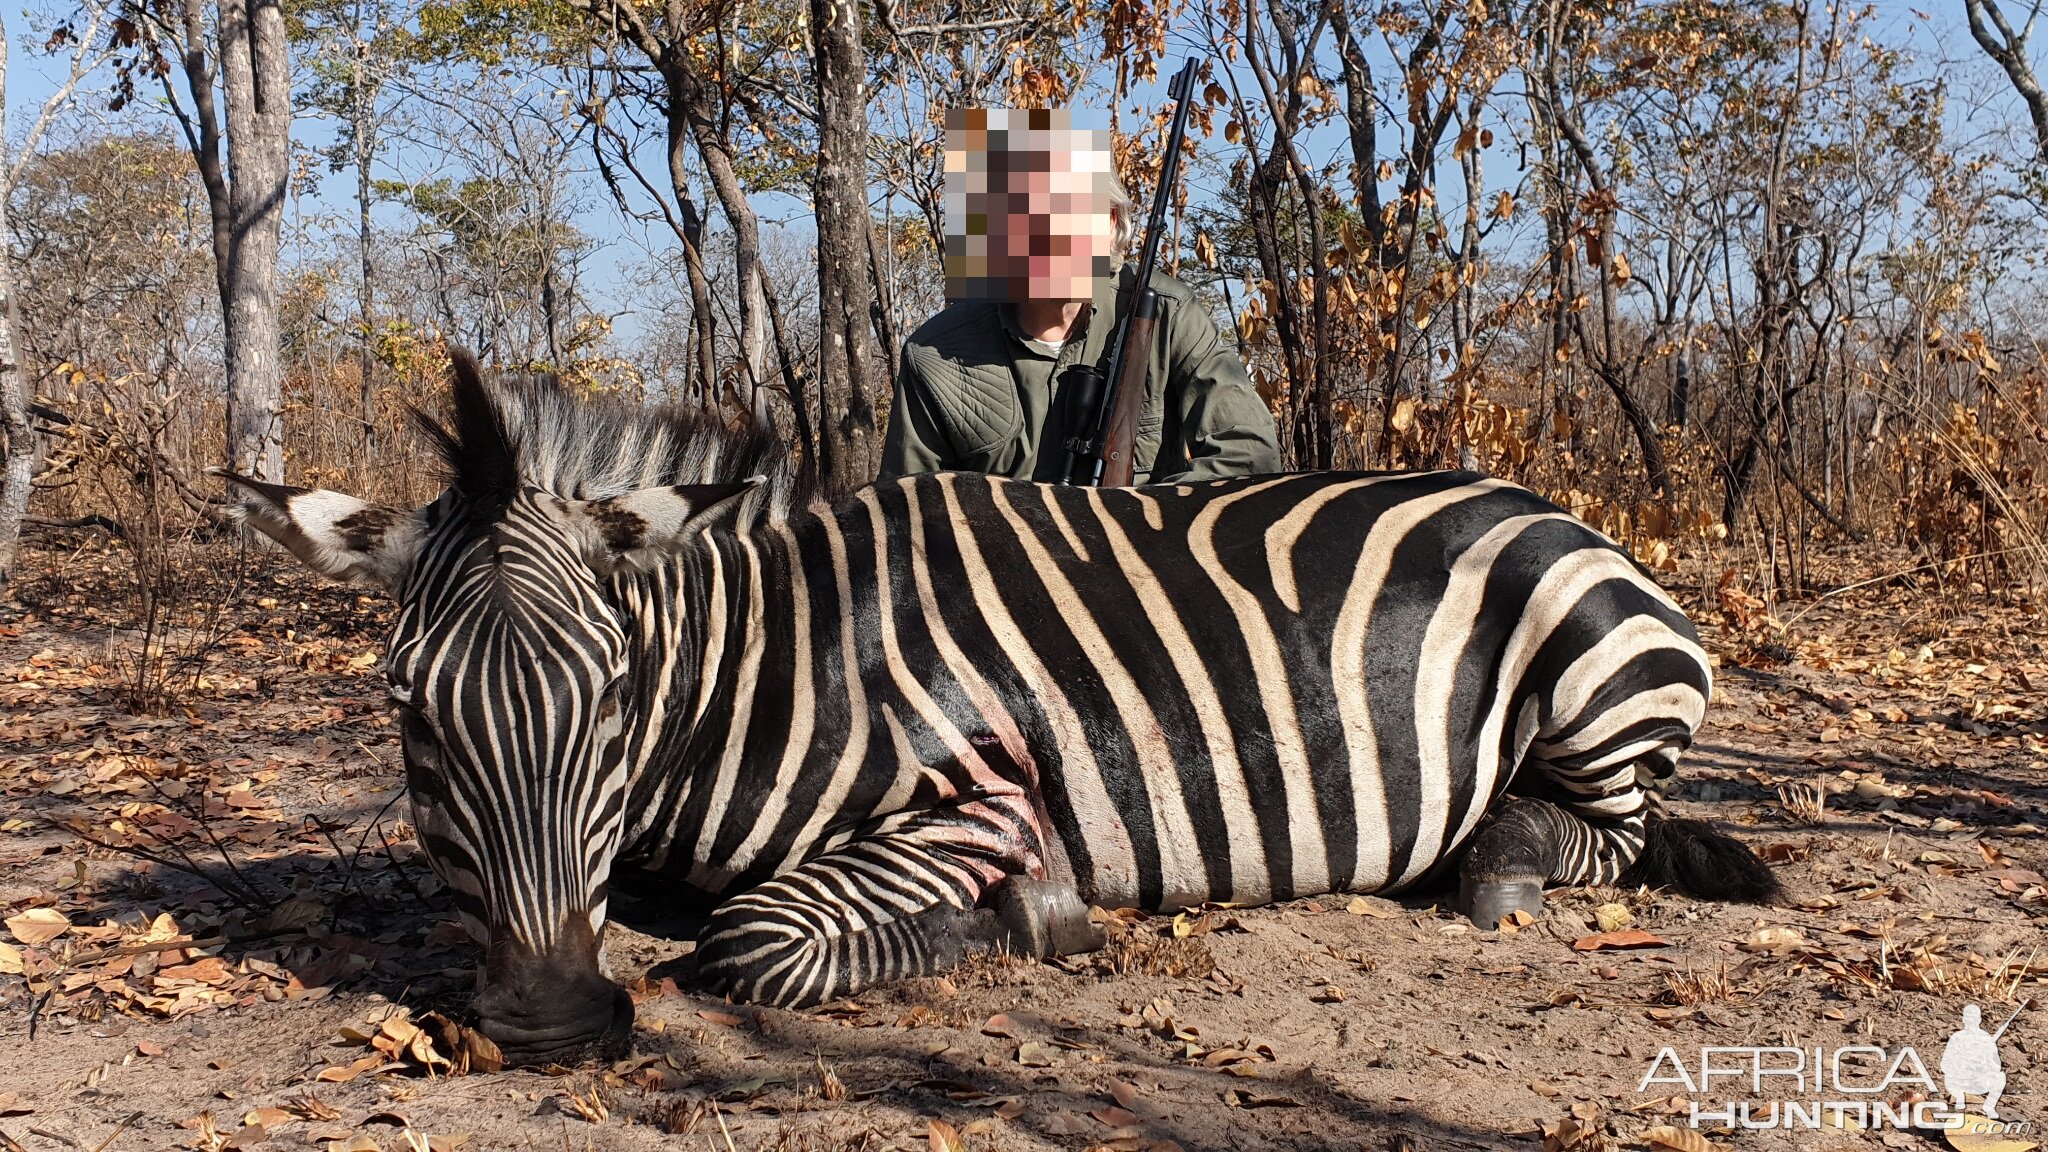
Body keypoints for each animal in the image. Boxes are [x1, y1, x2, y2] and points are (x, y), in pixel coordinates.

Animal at [224, 354, 1777, 1065]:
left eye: (612, 698)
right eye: (410, 710)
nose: (549, 1024)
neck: (763, 668)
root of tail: (1551, 505)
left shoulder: (982, 802)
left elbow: (753, 938)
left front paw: (1023, 921)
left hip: (1591, 678)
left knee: (1603, 833)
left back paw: (1497, 861)